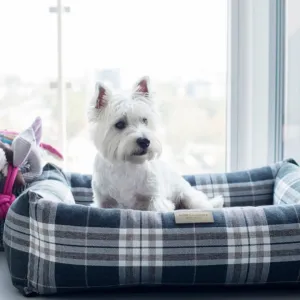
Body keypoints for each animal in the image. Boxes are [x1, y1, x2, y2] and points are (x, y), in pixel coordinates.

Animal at [86, 76, 223, 212]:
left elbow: (155, 207)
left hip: (189, 197)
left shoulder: (156, 198)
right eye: (120, 124)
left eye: (145, 120)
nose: (145, 141)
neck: (127, 166)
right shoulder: (103, 201)